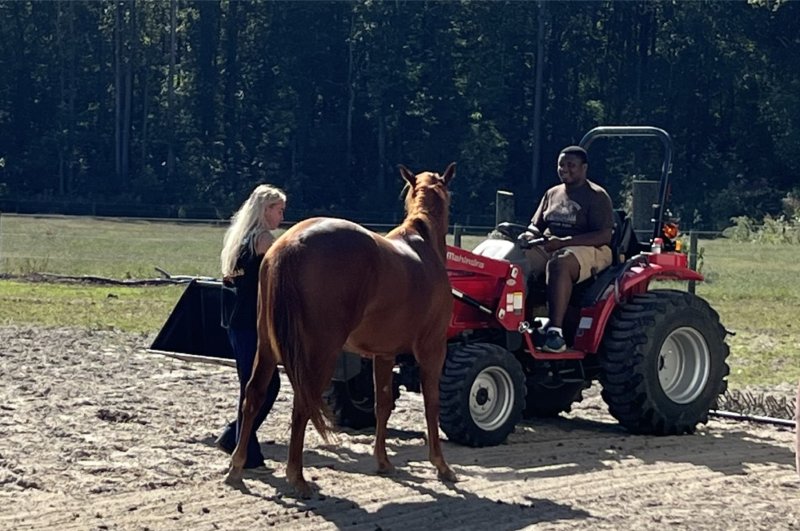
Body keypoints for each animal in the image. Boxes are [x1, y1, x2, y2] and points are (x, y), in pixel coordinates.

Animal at [226, 163, 458, 497]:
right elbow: (432, 404)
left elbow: (383, 404)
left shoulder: (383, 354)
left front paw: (383, 461)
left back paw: (237, 468)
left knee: (254, 395)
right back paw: (297, 477)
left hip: (266, 348)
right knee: (302, 404)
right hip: (320, 353)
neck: (423, 247)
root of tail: (290, 243)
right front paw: (441, 465)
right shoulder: (433, 349)